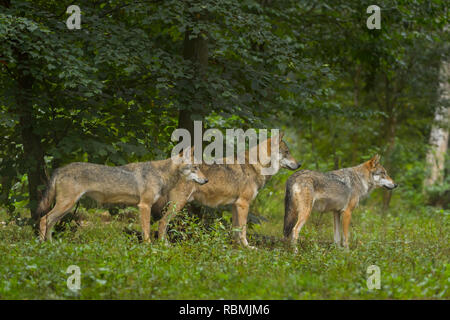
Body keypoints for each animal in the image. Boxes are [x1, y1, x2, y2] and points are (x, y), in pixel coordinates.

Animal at [38, 151, 207, 241]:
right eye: (195, 168)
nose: (206, 180)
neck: (161, 174)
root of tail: (60, 169)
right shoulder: (144, 206)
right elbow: (146, 232)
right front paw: (150, 249)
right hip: (66, 205)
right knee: (43, 219)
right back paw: (41, 245)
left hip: (67, 207)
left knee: (50, 223)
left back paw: (52, 245)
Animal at [153, 132, 300, 248]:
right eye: (287, 152)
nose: (299, 164)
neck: (256, 165)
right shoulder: (243, 204)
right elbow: (243, 230)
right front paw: (248, 247)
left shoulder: (235, 206)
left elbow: (236, 230)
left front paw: (237, 247)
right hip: (177, 204)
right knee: (162, 222)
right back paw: (164, 244)